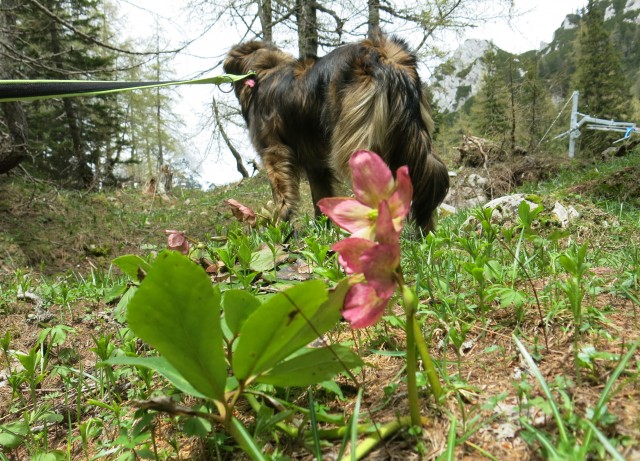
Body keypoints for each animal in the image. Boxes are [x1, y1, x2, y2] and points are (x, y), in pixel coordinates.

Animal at [225, 33, 450, 230]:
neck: (264, 72)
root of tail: (382, 55)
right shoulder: (316, 164)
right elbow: (320, 195)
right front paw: (322, 229)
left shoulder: (274, 152)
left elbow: (281, 196)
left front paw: (279, 225)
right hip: (409, 136)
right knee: (428, 175)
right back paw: (424, 232)